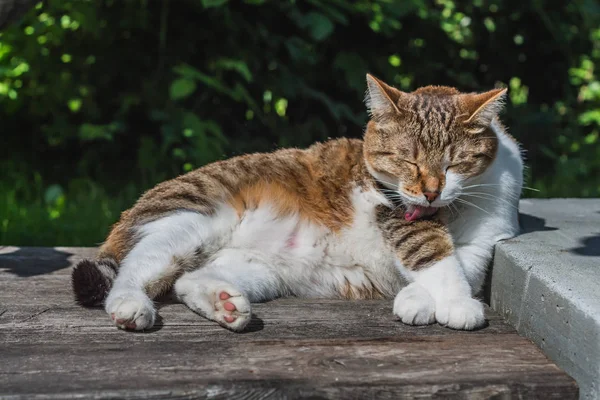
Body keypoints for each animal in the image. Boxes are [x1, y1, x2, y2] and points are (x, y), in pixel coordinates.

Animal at [70, 74, 524, 332]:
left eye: (453, 162)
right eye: (406, 161)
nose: (429, 192)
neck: (456, 208)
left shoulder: (488, 233)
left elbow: (463, 264)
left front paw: (424, 298)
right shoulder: (395, 208)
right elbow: (434, 255)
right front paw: (456, 304)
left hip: (260, 269)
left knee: (187, 280)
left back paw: (225, 305)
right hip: (193, 221)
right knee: (133, 269)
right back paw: (131, 306)